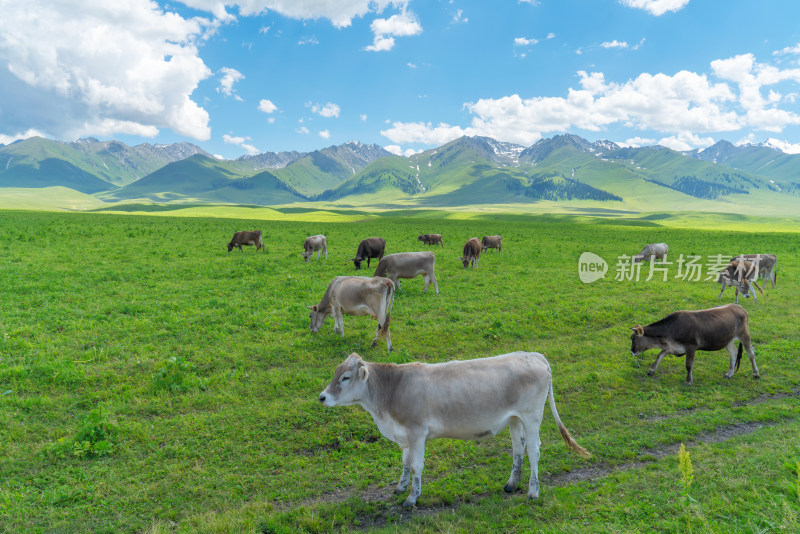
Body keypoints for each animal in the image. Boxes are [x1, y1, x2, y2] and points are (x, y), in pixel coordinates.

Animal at [318, 354, 588, 508]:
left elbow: (416, 465)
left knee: (534, 450)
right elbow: (405, 462)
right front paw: (400, 487)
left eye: (345, 377)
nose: (322, 397)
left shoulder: (416, 432)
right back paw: (512, 483)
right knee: (518, 448)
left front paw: (412, 498)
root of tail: (533, 356)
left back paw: (533, 491)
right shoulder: (405, 434)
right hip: (515, 418)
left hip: (532, 416)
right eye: (335, 373)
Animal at [628, 306, 760, 386]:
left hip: (744, 334)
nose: (632, 352)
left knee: (751, 354)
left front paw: (688, 381)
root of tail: (739, 307)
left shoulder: (691, 346)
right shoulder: (671, 346)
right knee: (733, 353)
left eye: (633, 338)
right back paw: (729, 374)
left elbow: (688, 364)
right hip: (727, 339)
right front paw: (651, 370)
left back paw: (756, 374)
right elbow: (659, 356)